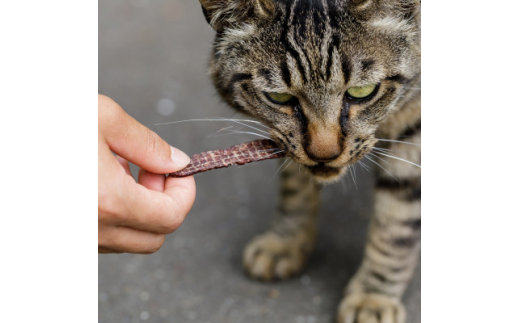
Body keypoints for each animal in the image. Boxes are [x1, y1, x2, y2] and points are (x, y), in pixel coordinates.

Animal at [197, 1, 420, 322]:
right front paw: (286, 240)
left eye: (362, 92)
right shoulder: (286, 142)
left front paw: (372, 296)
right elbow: (295, 187)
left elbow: (397, 223)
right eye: (278, 97)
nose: (324, 154)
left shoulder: (414, 131)